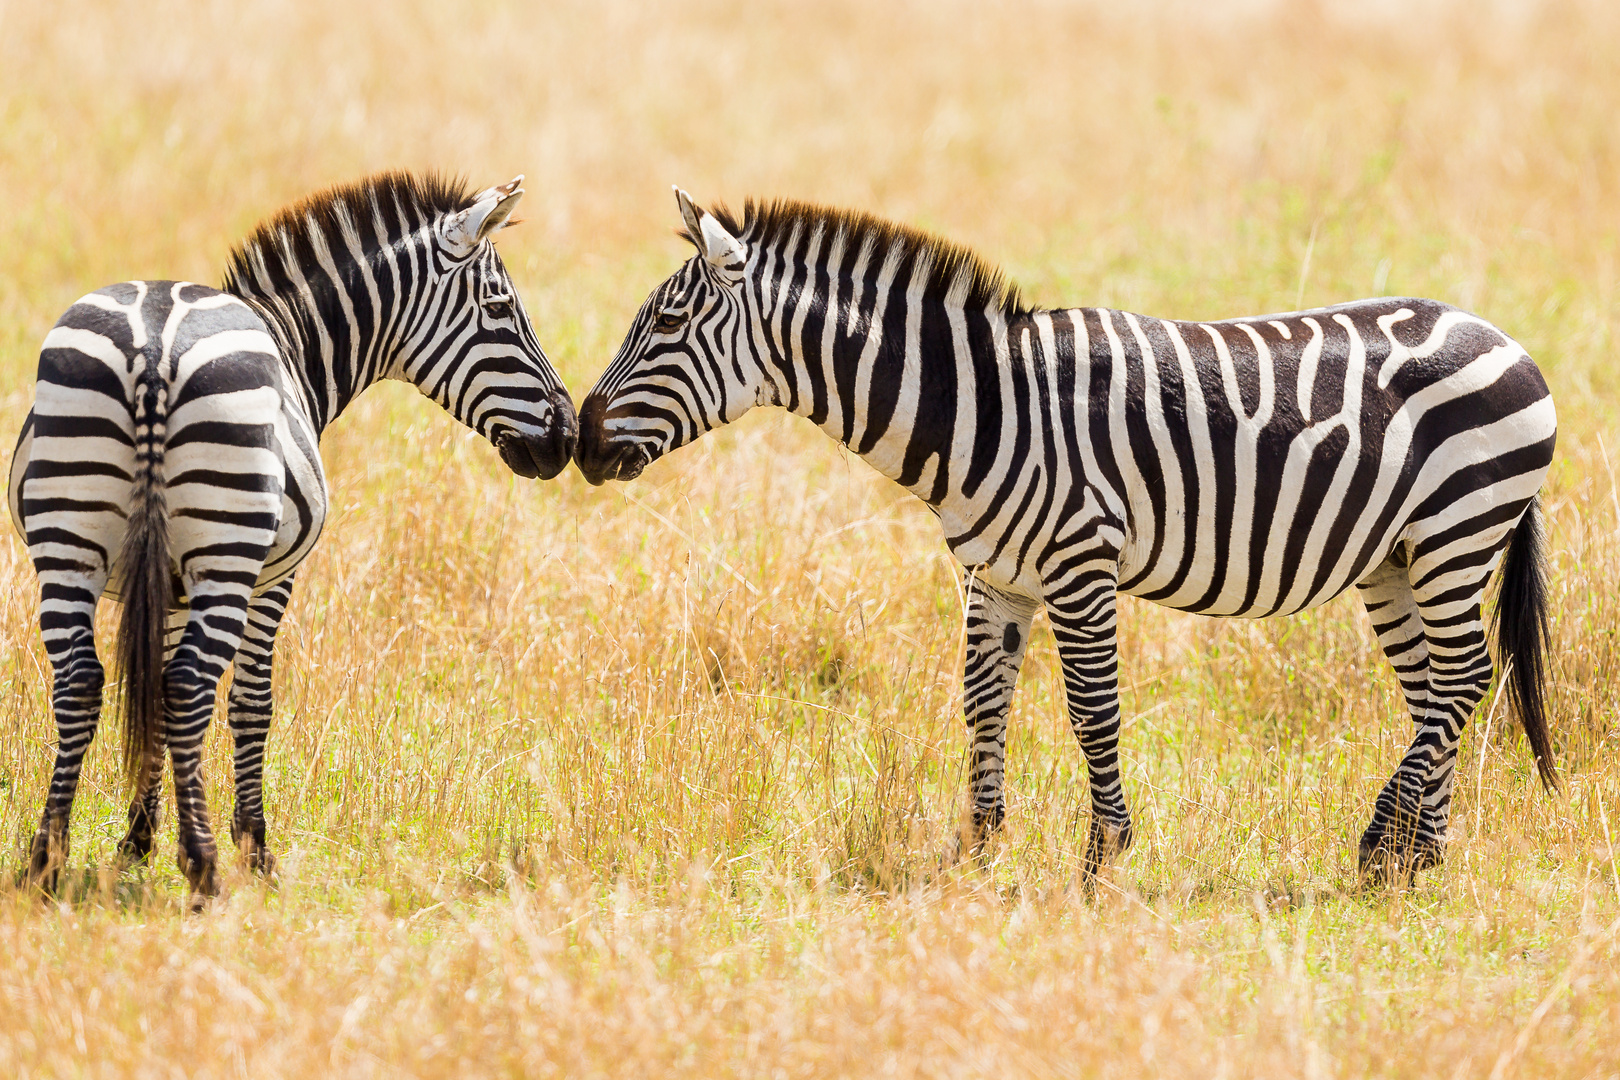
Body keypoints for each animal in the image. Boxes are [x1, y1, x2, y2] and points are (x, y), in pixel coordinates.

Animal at [4, 170, 576, 893]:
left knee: (82, 680)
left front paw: (136, 840)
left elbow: (153, 688)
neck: (296, 344)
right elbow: (250, 699)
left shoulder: (166, 583)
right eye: (501, 308)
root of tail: (153, 345)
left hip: (66, 544)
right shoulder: (276, 576)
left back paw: (46, 859)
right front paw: (252, 847)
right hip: (226, 552)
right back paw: (205, 866)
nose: (568, 436)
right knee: (190, 683)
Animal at [579, 191, 1555, 887]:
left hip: (1455, 531)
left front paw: (1102, 856)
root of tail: (1507, 338)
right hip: (1395, 558)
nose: (580, 442)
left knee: (1465, 676)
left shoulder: (1080, 562)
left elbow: (1092, 711)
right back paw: (1419, 856)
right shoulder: (996, 577)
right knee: (1435, 688)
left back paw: (1381, 841)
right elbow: (982, 704)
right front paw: (974, 852)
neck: (984, 408)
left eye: (666, 325)